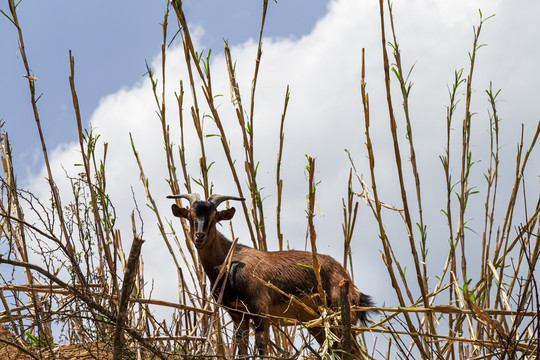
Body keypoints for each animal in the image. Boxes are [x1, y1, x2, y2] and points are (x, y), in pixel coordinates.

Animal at [169, 193, 376, 356]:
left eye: (214, 218)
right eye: (190, 216)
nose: (199, 237)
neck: (232, 259)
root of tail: (350, 283)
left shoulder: (261, 312)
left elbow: (262, 350)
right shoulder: (238, 316)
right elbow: (242, 352)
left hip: (341, 316)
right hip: (318, 324)